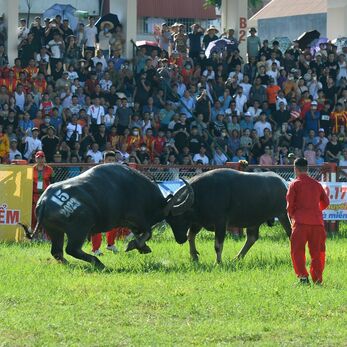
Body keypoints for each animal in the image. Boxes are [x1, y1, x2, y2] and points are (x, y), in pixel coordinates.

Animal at [19, 164, 193, 270]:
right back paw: (98, 263)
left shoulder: (132, 223)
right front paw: (133, 246)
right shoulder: (137, 219)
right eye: (174, 219)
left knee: (57, 251)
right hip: (79, 229)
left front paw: (142, 247)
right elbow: (147, 233)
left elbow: (141, 234)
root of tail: (45, 200)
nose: (182, 238)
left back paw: (70, 264)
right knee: (71, 249)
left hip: (55, 231)